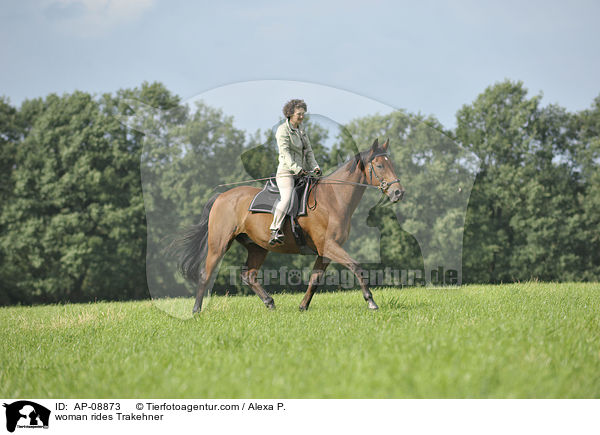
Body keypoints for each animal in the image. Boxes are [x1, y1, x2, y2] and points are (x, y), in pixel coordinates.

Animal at [172, 139, 404, 314]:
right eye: (380, 165)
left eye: (392, 164)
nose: (398, 193)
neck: (333, 199)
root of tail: (221, 196)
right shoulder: (329, 246)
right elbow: (357, 267)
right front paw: (371, 301)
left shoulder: (325, 252)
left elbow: (314, 279)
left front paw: (303, 306)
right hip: (219, 244)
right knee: (206, 273)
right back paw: (196, 310)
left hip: (257, 247)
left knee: (249, 275)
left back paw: (270, 303)